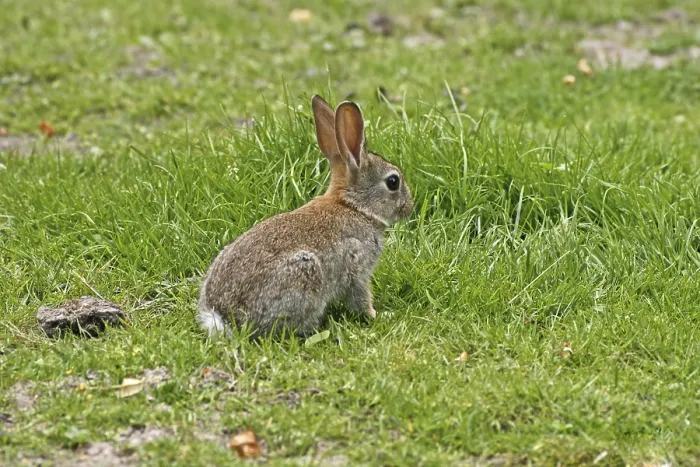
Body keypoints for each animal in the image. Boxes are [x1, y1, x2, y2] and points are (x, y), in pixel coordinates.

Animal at [197, 95, 413, 338]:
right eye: (393, 182)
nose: (410, 206)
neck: (354, 207)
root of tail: (222, 316)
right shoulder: (356, 268)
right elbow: (361, 297)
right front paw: (378, 315)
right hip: (304, 276)